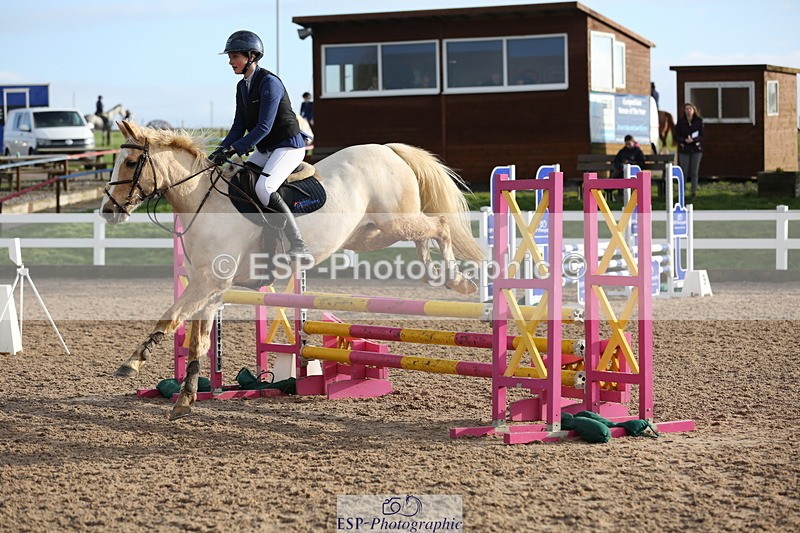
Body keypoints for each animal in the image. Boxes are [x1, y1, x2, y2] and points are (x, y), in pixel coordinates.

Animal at [100, 120, 485, 420]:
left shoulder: (208, 281)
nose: (108, 211)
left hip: (394, 222)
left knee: (439, 226)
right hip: (373, 234)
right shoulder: (211, 288)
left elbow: (169, 317)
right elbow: (199, 342)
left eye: (131, 161)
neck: (203, 202)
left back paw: (459, 281)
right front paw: (185, 400)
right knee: (425, 235)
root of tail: (389, 150)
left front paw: (132, 363)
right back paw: (439, 276)